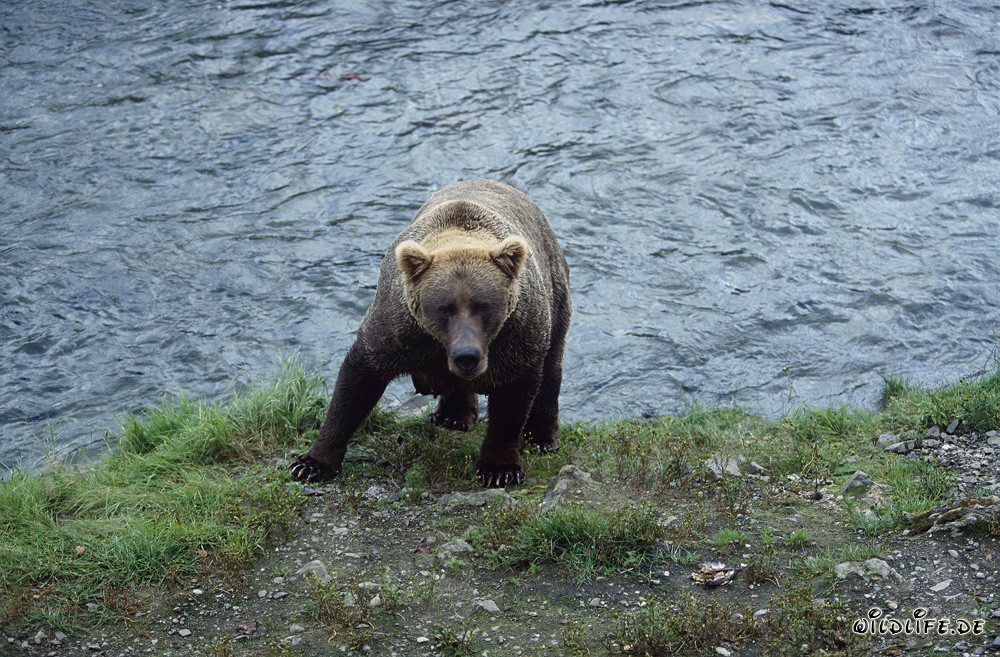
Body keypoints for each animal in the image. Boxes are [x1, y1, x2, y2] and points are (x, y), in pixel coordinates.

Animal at [289, 179, 571, 487]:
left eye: (484, 306)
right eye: (443, 308)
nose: (467, 356)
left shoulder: (515, 335)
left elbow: (513, 398)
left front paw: (498, 469)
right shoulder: (400, 330)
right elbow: (358, 380)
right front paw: (309, 463)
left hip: (555, 293)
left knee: (551, 367)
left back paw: (542, 438)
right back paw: (452, 415)